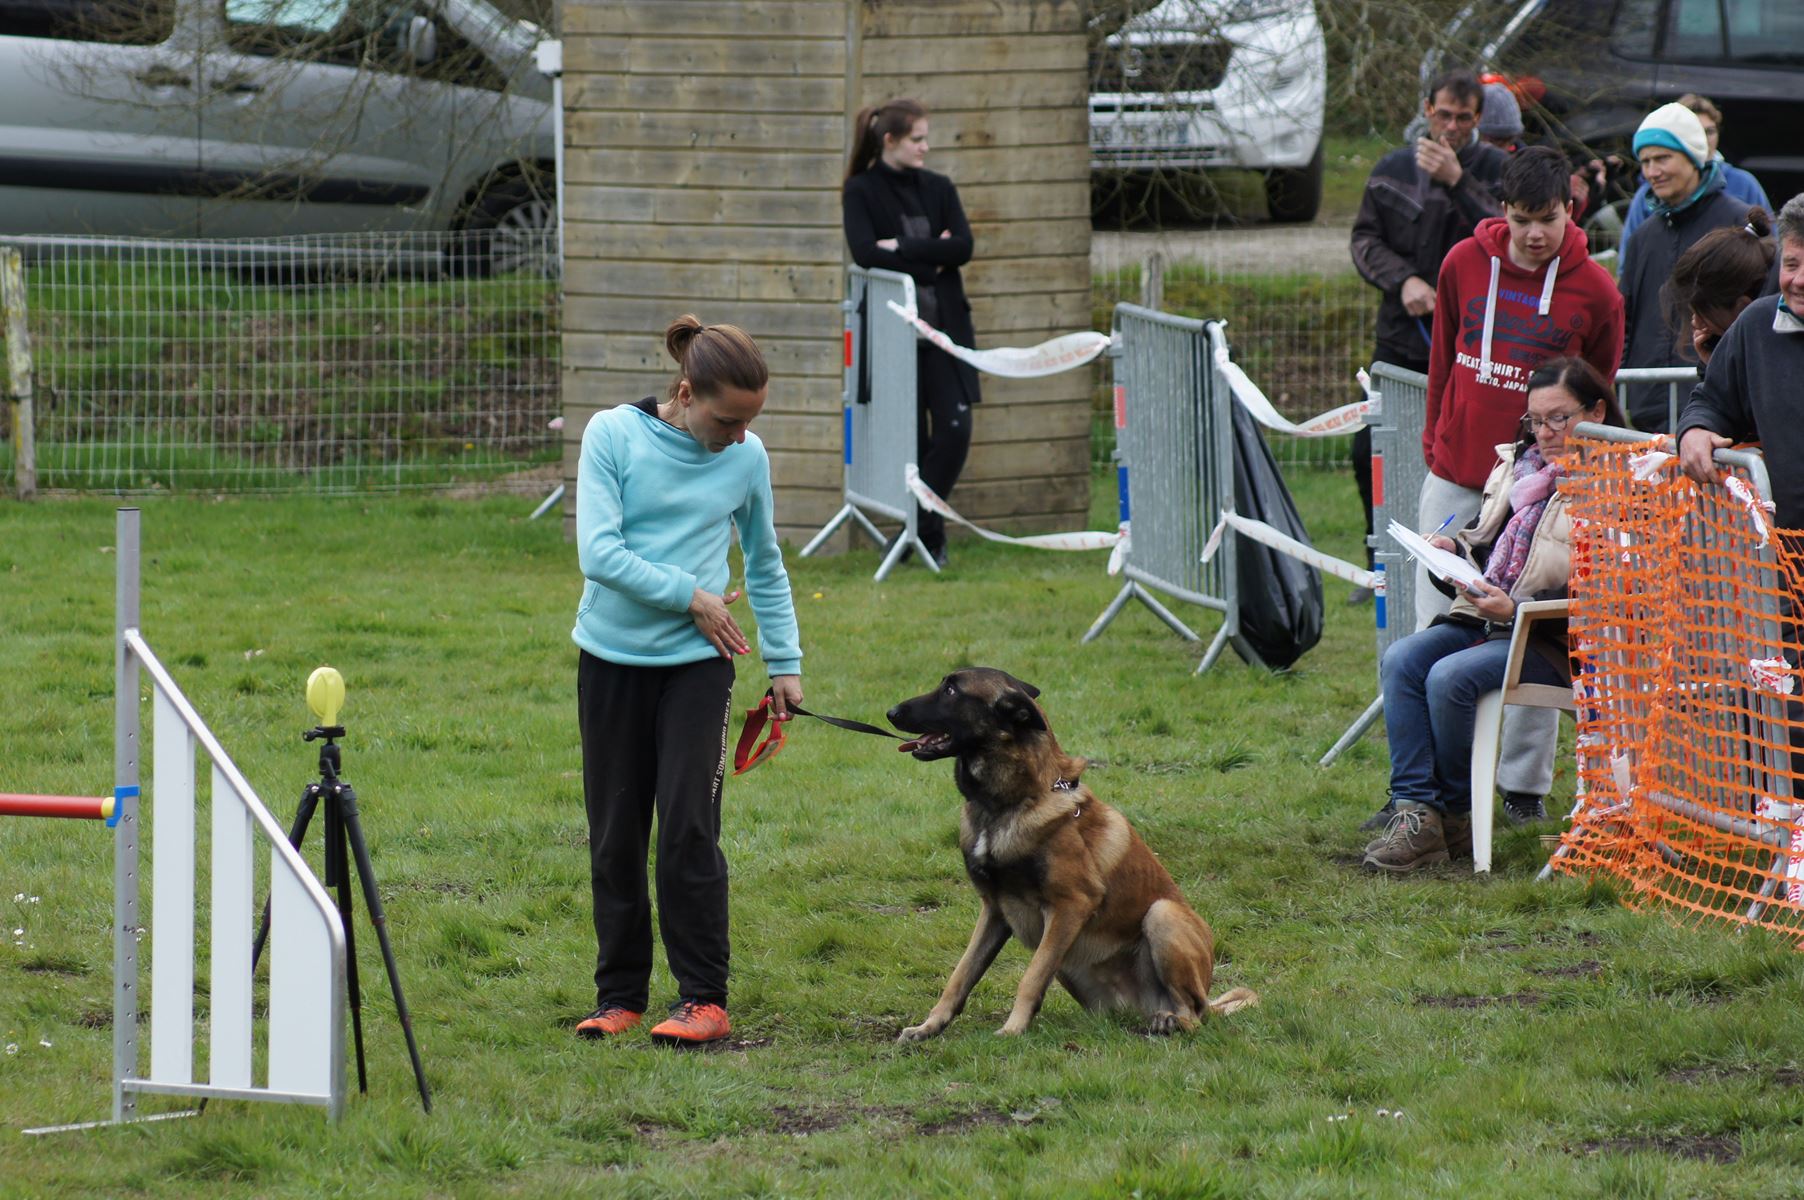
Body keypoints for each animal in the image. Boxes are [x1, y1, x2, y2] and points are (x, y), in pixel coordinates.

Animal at [887, 664, 1255, 1039]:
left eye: (951, 690)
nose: (890, 712)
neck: (1008, 804)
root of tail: (1145, 1006)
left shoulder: (1070, 905)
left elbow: (1031, 977)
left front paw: (1013, 1029)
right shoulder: (994, 911)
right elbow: (961, 975)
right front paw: (930, 1026)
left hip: (1162, 914)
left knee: (1195, 1013)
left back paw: (1173, 1021)